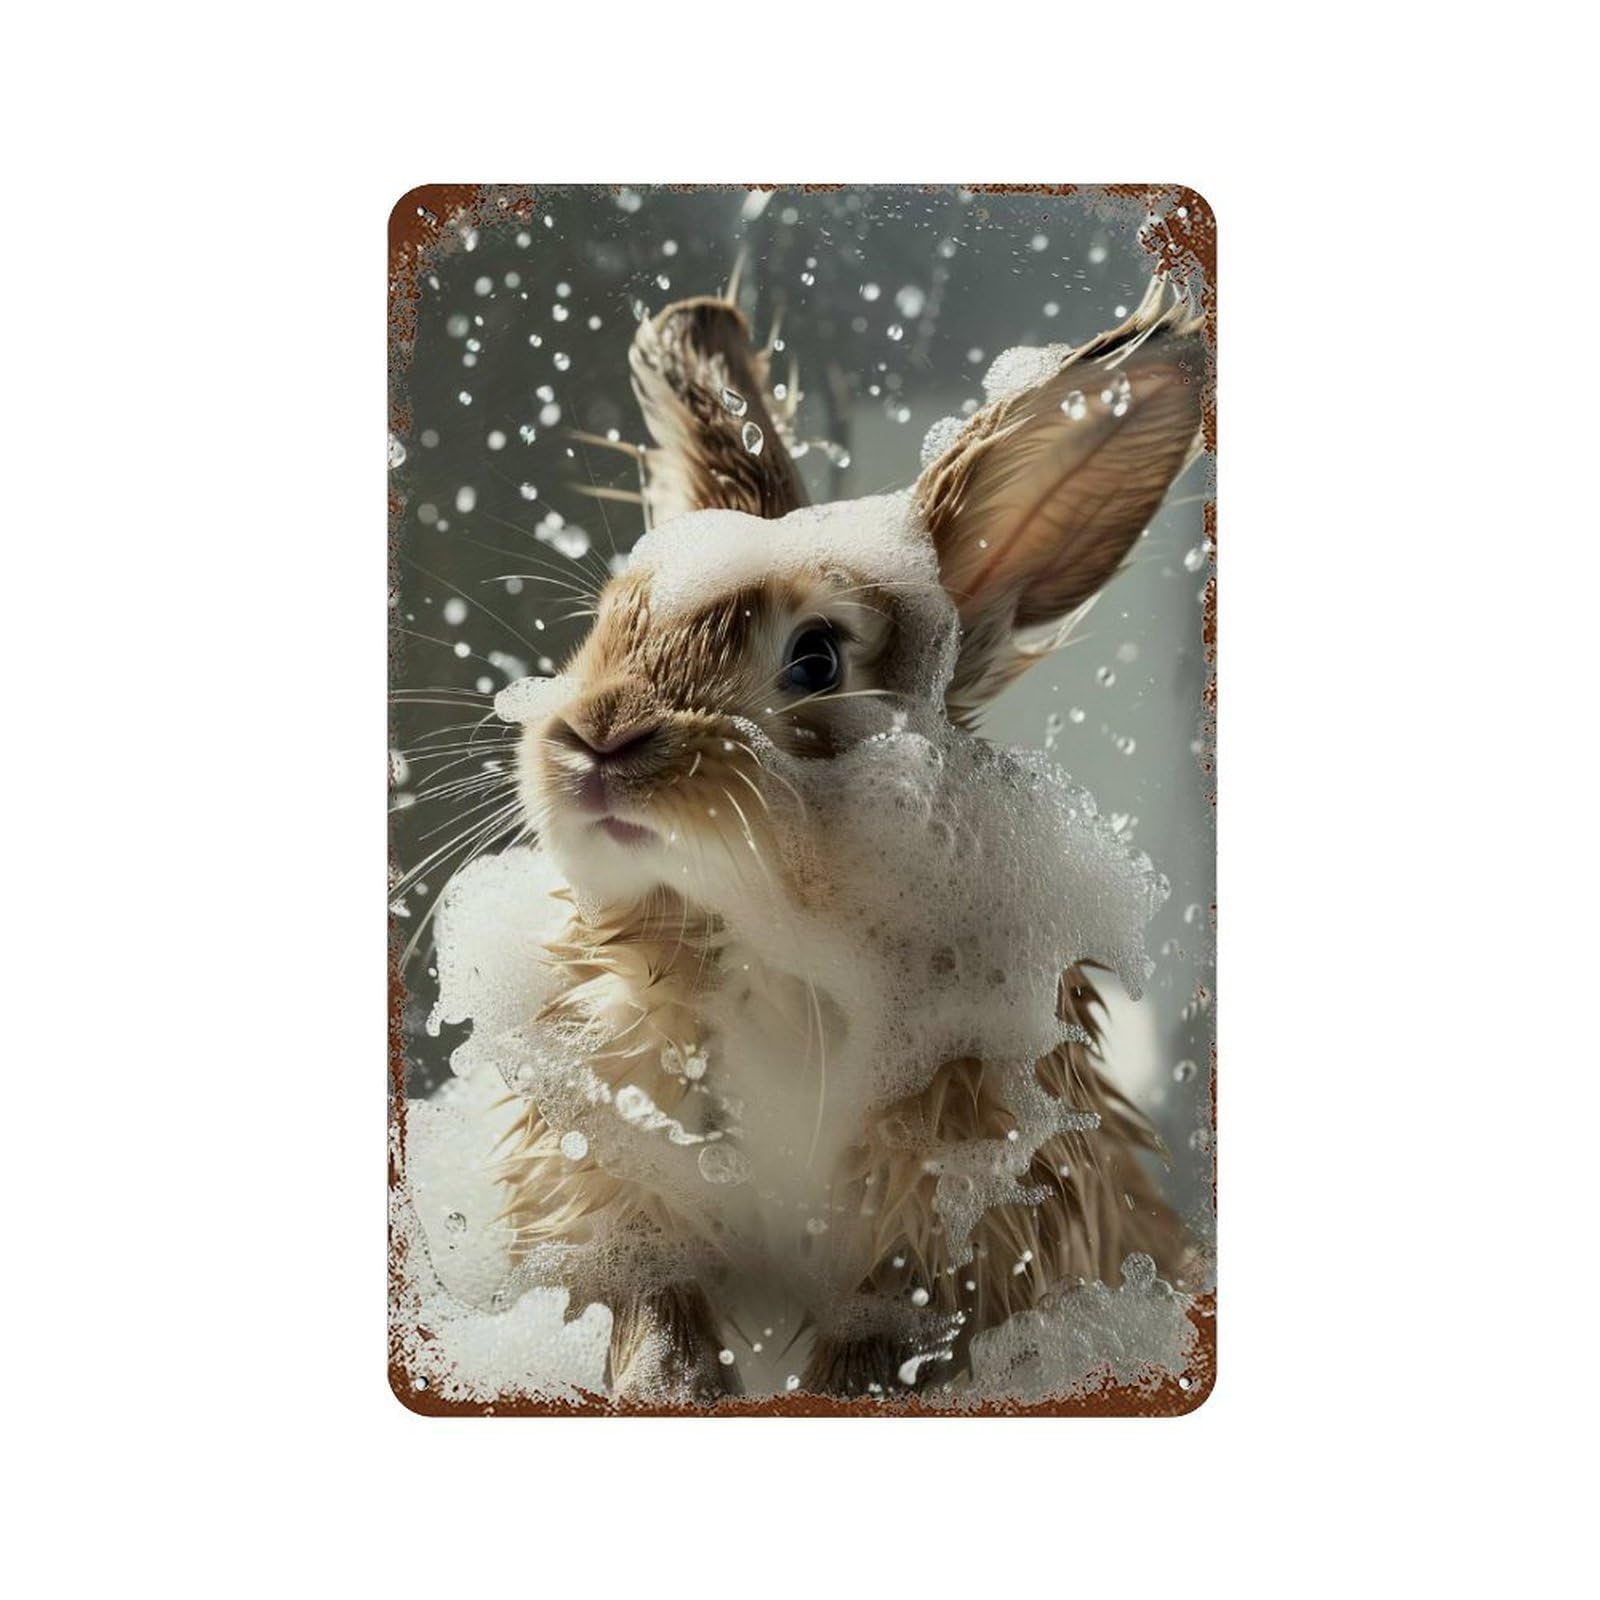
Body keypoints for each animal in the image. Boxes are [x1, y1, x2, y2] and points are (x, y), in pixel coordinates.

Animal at [456, 274, 1206, 1404]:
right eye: (607, 621)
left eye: (814, 659)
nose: (594, 738)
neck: (767, 938)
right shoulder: (623, 1185)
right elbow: (653, 1302)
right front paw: (666, 1388)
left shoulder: (957, 1223)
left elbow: (880, 1343)